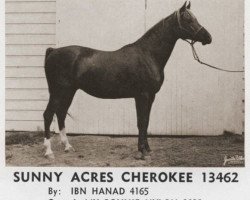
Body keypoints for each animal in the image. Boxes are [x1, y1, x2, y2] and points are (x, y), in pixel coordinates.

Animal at [42, 0, 211, 159]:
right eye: (188, 19)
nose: (208, 37)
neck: (148, 54)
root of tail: (53, 51)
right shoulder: (142, 95)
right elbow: (141, 122)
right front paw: (142, 151)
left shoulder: (150, 96)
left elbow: (146, 122)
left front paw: (146, 149)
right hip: (58, 92)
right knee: (48, 114)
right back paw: (49, 152)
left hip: (69, 92)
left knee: (61, 113)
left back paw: (67, 146)